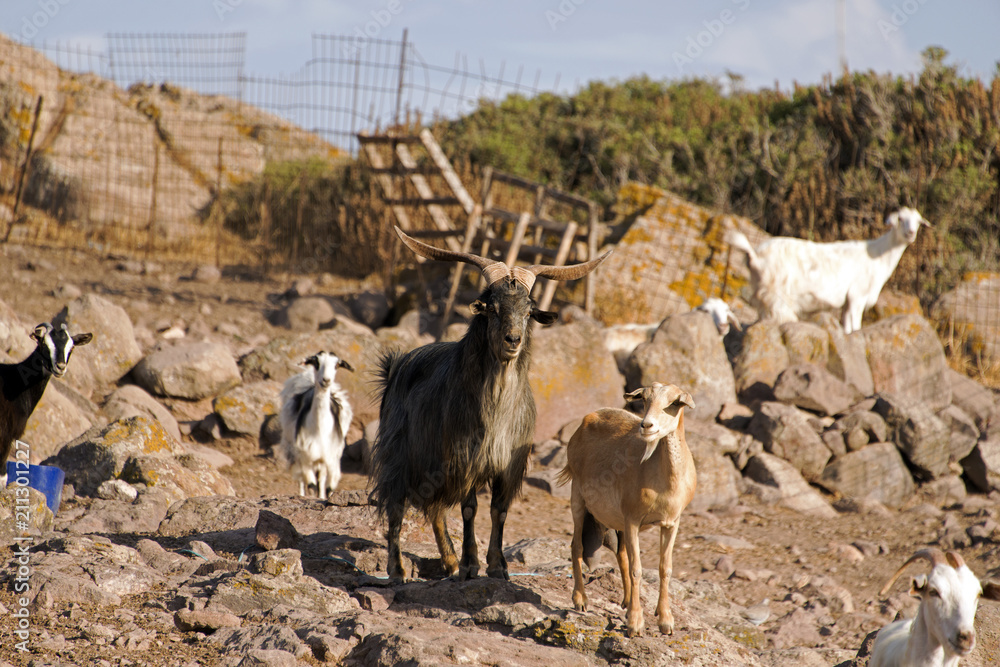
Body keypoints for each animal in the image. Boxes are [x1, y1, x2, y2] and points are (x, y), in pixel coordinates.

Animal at [278, 350, 356, 500]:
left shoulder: (330, 458)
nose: (326, 380)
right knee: (302, 480)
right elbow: (311, 485)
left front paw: (323, 498)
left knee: (320, 479)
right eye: (316, 362)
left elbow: (327, 486)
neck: (319, 430)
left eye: (337, 365)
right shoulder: (305, 456)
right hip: (295, 452)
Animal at [372, 227, 612, 580]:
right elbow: (469, 508)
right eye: (492, 308)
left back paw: (449, 562)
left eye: (528, 311)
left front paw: (497, 566)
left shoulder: (508, 464)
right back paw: (399, 569)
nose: (513, 340)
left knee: (435, 510)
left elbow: (499, 511)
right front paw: (472, 563)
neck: (496, 410)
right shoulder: (465, 459)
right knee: (396, 506)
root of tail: (395, 368)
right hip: (400, 454)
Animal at [564, 380, 696, 636]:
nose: (647, 425)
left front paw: (665, 621)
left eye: (674, 402)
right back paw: (581, 600)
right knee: (576, 546)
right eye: (644, 399)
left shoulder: (671, 523)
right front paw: (635, 624)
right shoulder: (633, 520)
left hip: (617, 522)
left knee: (620, 553)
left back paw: (624, 603)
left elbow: (665, 568)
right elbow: (637, 569)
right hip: (579, 501)